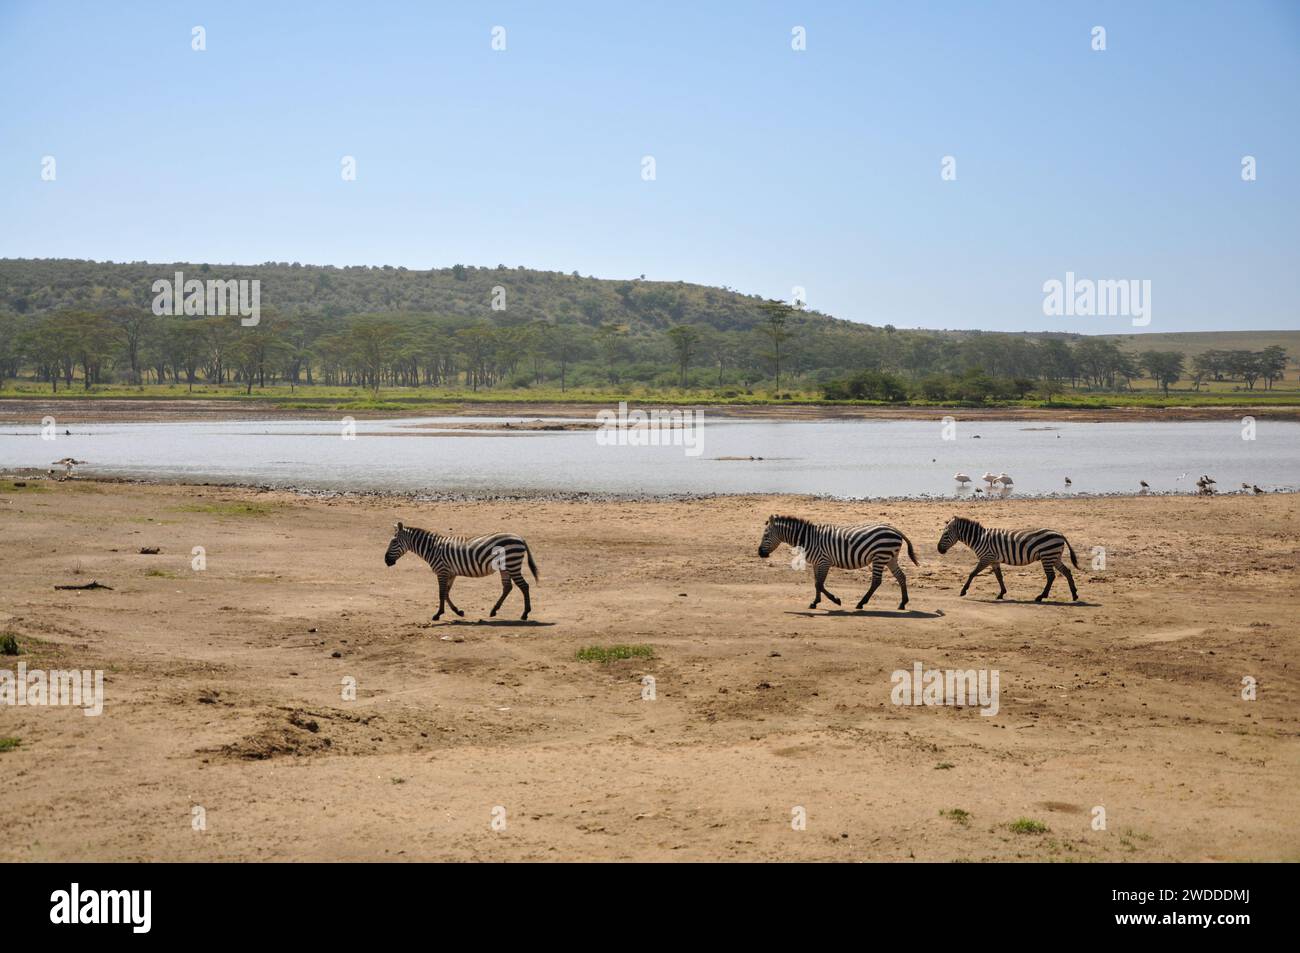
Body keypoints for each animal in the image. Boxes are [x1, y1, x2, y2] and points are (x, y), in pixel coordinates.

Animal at [379, 525, 538, 621]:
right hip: (505, 567)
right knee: (507, 587)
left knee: (524, 586)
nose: (386, 561)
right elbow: (446, 593)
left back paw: (525, 614)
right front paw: (458, 611)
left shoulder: (442, 571)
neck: (432, 548)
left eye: (393, 542)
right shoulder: (450, 573)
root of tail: (520, 537)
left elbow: (441, 593)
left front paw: (437, 614)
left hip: (512, 564)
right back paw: (494, 610)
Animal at [759, 512, 920, 608]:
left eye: (765, 536)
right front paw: (815, 602)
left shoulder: (824, 561)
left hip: (880, 556)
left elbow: (819, 584)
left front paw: (836, 600)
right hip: (890, 557)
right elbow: (816, 583)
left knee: (876, 581)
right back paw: (903, 603)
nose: (760, 553)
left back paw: (861, 603)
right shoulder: (817, 564)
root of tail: (894, 529)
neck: (808, 538)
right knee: (901, 576)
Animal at [941, 512, 1081, 603]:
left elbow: (972, 573)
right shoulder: (994, 560)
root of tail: (1060, 534)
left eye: (945, 534)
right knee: (1067, 572)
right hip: (1054, 557)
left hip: (1047, 556)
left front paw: (963, 591)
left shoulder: (986, 558)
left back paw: (1041, 596)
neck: (979, 538)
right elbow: (999, 577)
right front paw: (1001, 593)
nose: (939, 549)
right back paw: (1074, 595)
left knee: (1051, 576)